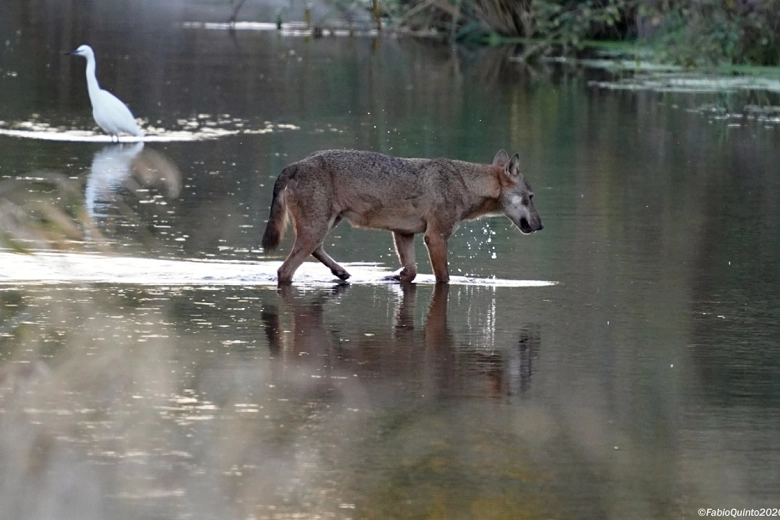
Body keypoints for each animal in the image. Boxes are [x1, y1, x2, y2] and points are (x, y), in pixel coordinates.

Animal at [262, 148, 544, 282]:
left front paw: (393, 277)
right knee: (284, 271)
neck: (464, 184)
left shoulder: (404, 234)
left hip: (326, 225)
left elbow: (411, 271)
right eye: (531, 197)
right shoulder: (435, 238)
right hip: (316, 229)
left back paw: (341, 272)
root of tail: (296, 164)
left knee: (315, 251)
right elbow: (443, 278)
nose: (541, 226)